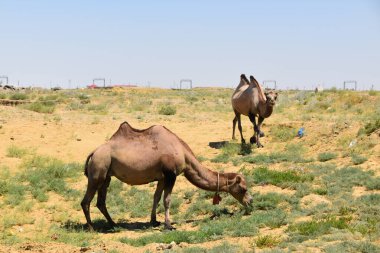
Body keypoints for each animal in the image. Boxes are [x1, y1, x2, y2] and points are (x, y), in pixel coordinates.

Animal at [81, 122, 252, 231]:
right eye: (243, 189)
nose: (250, 201)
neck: (183, 154)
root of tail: (93, 152)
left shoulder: (162, 177)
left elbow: (156, 197)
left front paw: (154, 221)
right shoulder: (171, 174)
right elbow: (167, 200)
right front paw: (169, 225)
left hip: (106, 176)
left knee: (100, 201)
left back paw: (113, 224)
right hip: (97, 171)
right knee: (86, 201)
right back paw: (91, 228)